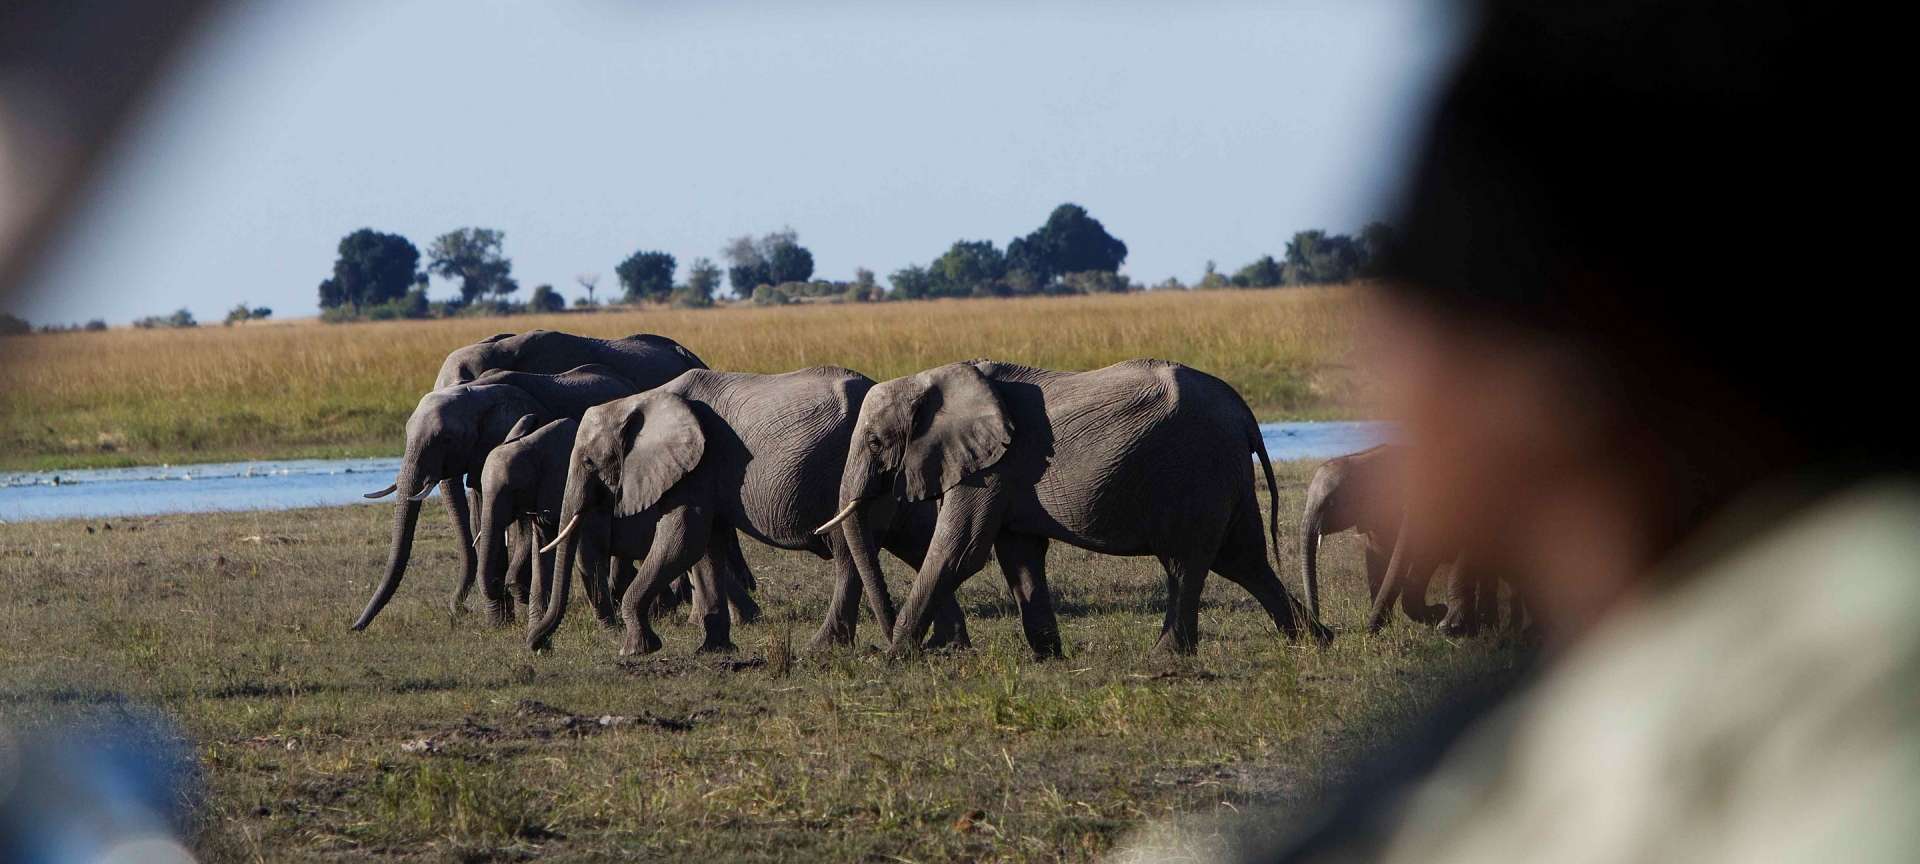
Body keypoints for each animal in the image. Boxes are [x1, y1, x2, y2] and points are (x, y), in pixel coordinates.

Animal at [526, 366, 967, 656]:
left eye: (587, 462)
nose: (538, 645)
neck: (641, 399)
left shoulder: (697, 467)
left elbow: (683, 540)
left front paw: (636, 651)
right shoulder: (705, 472)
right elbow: (707, 547)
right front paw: (713, 651)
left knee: (848, 554)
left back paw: (824, 648)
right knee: (916, 541)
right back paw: (948, 643)